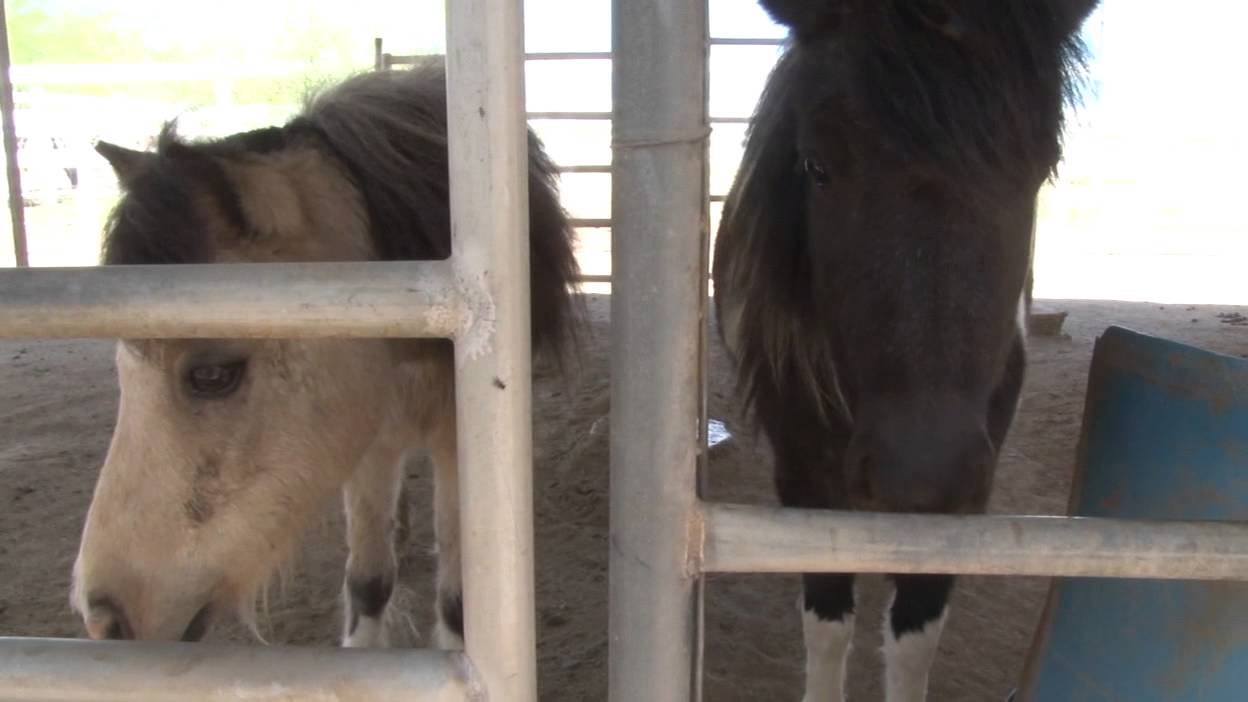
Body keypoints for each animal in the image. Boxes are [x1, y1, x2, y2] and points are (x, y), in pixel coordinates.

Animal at [69, 57, 582, 649]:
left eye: (214, 375)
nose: (104, 617)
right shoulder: (368, 439)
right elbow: (368, 581)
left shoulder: (457, 440)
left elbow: (458, 603)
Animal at [711, 2, 1099, 700]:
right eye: (816, 166)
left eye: (1039, 170)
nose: (921, 472)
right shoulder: (806, 476)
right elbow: (827, 623)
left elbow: (915, 637)